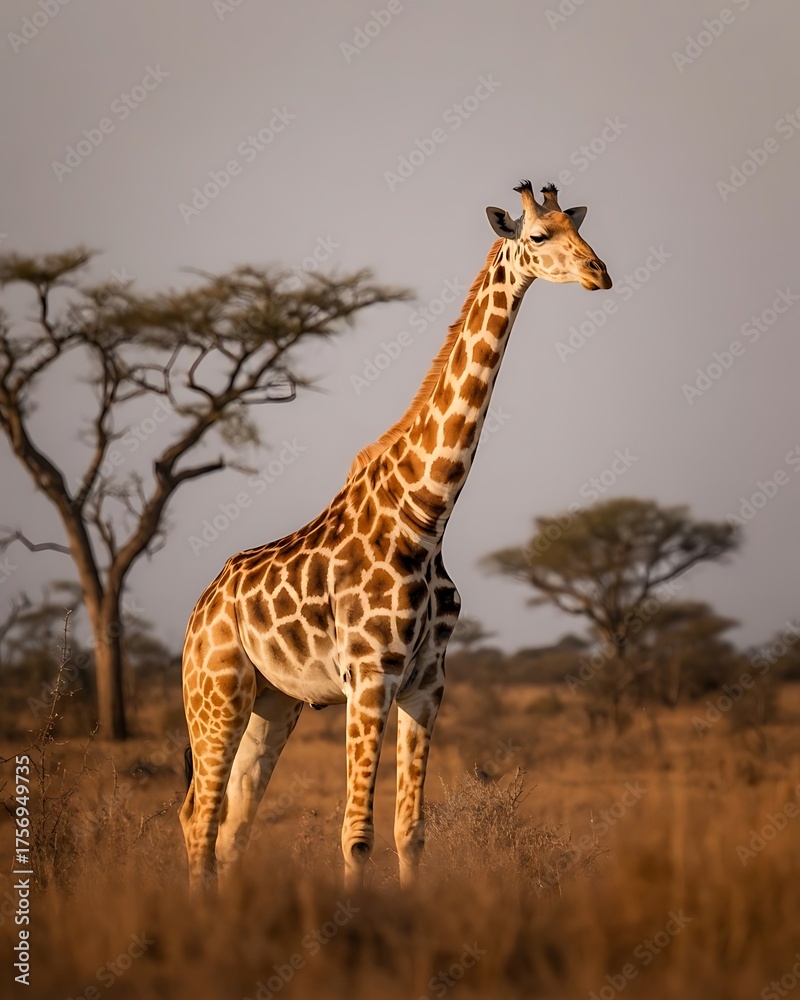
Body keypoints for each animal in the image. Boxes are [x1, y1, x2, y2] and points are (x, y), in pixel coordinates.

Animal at [179, 180, 612, 893]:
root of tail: (199, 608)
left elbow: (411, 832)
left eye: (581, 230)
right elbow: (356, 836)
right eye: (539, 237)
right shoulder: (369, 677)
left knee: (234, 817)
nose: (599, 273)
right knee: (200, 816)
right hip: (215, 692)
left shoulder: (427, 684)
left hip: (273, 702)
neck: (427, 515)